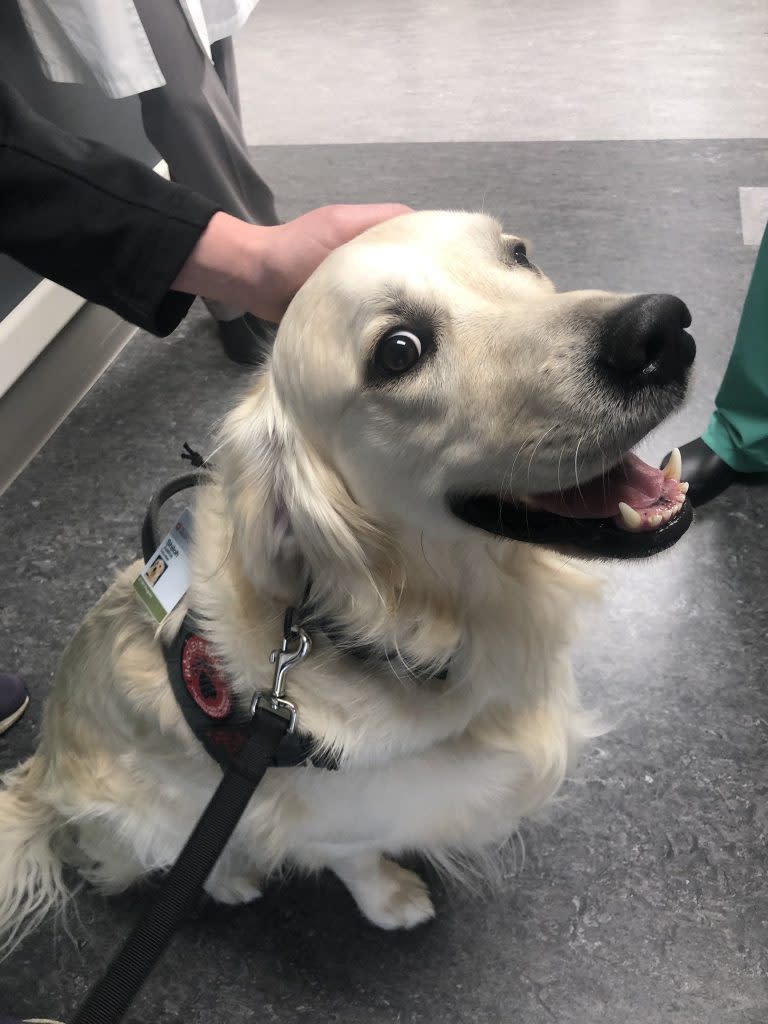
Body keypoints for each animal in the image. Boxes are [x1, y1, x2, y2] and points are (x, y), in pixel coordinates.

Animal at [1, 207, 696, 950]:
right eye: (398, 351)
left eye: (517, 254)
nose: (660, 329)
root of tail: (42, 773)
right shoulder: (324, 821)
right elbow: (356, 861)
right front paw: (391, 900)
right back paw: (232, 879)